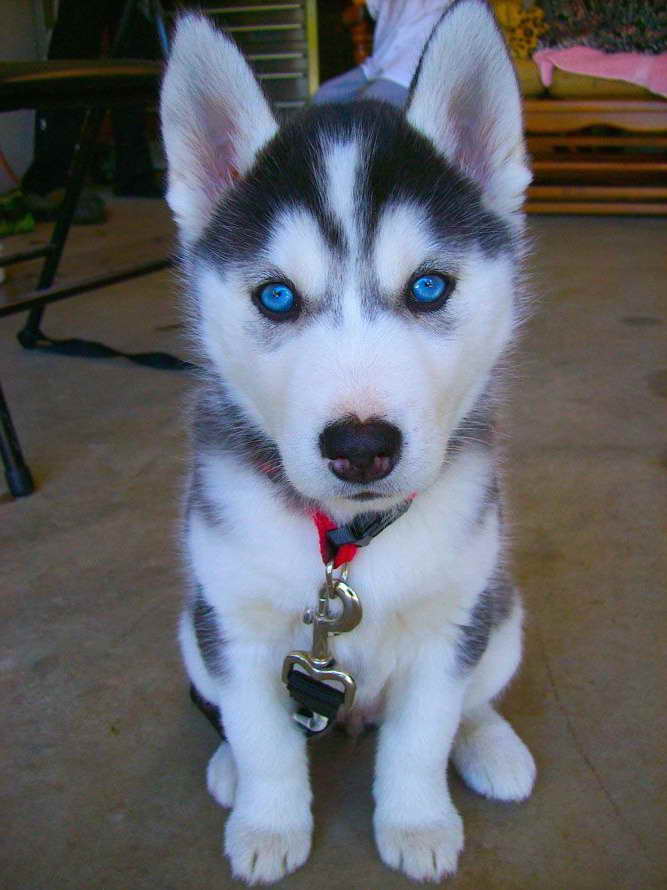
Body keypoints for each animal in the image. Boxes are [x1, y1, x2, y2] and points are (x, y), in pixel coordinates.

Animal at [162, 1, 536, 880]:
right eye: (275, 296)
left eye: (428, 286)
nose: (361, 446)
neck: (348, 542)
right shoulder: (233, 622)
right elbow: (264, 737)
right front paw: (268, 824)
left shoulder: (451, 623)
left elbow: (422, 737)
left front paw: (417, 822)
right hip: (193, 629)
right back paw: (229, 768)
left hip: (501, 615)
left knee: (473, 700)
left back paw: (490, 745)